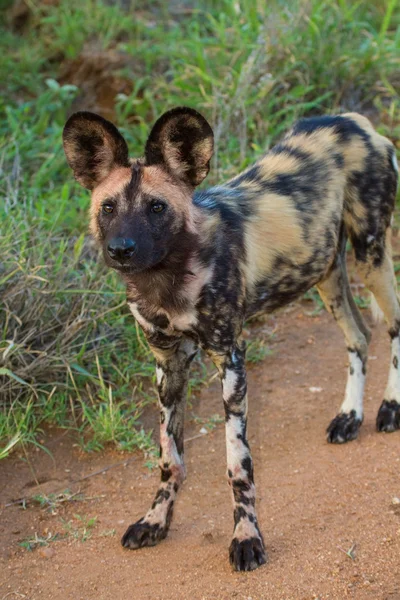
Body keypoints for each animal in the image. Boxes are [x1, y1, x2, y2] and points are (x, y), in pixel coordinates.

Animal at [62, 108, 396, 572]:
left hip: (370, 253)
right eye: (108, 207)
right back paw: (350, 416)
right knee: (360, 336)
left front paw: (246, 539)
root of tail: (352, 119)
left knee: (393, 326)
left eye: (156, 207)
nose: (121, 249)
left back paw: (390, 408)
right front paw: (155, 521)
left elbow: (238, 466)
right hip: (325, 271)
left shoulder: (230, 360)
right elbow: (170, 459)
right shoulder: (167, 365)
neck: (167, 278)